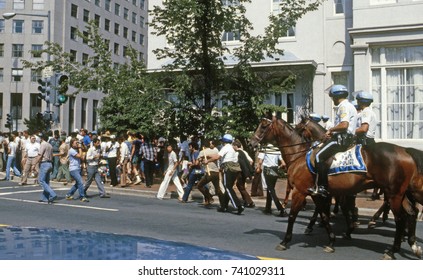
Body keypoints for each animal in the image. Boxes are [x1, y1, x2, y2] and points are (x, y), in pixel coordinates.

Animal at [250, 116, 422, 258]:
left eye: (263, 126)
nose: (251, 143)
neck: (299, 155)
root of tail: (405, 150)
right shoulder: (317, 194)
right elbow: (324, 216)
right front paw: (331, 241)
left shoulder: (300, 192)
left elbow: (293, 216)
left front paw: (285, 241)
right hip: (400, 194)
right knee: (411, 213)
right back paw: (412, 245)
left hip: (393, 194)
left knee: (400, 219)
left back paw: (392, 250)